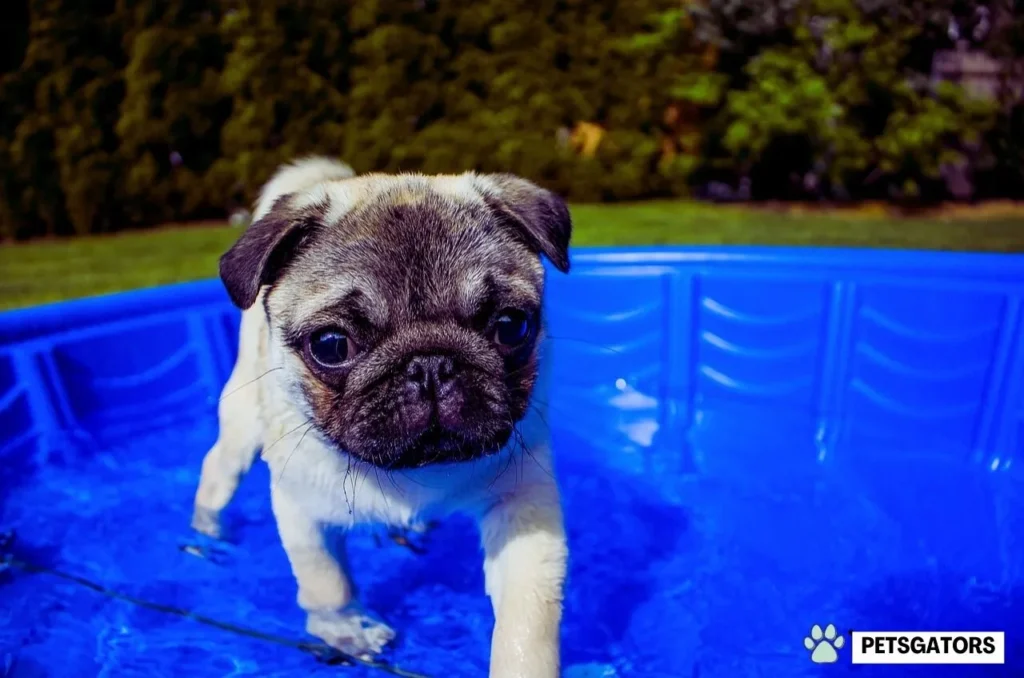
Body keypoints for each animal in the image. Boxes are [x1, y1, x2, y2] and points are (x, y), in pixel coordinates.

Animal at [191, 157, 573, 678]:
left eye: (512, 327)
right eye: (332, 345)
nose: (430, 364)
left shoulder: (524, 507)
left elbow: (527, 620)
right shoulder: (300, 508)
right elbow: (326, 582)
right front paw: (346, 628)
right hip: (242, 427)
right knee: (217, 473)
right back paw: (205, 533)